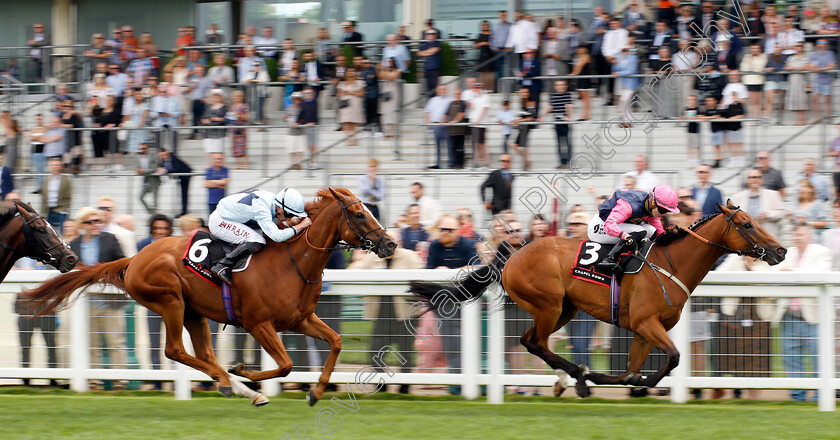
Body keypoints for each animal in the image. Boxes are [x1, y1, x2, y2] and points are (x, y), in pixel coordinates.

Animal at [23, 187, 398, 408]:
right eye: (360, 214)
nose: (391, 243)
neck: (294, 262)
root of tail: (134, 258)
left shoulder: (300, 319)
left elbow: (335, 341)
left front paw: (316, 391)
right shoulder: (259, 323)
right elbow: (286, 365)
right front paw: (243, 370)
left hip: (194, 311)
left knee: (202, 353)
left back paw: (234, 386)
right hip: (170, 301)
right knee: (175, 350)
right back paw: (236, 383)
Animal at [408, 201, 788, 398]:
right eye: (746, 224)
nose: (781, 251)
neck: (671, 263)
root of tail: (511, 255)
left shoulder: (642, 330)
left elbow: (632, 370)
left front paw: (632, 382)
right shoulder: (646, 323)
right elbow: (674, 357)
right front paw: (630, 382)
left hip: (564, 308)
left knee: (530, 341)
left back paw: (569, 378)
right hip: (548, 305)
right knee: (536, 343)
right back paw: (577, 375)